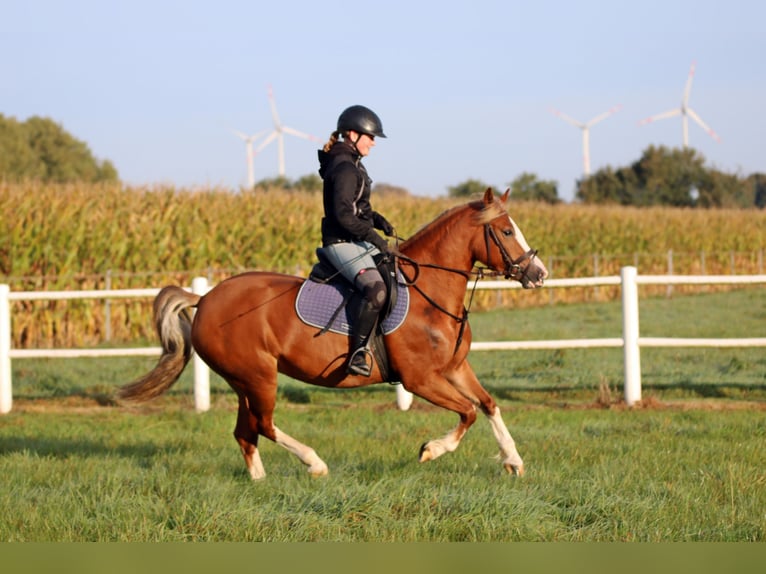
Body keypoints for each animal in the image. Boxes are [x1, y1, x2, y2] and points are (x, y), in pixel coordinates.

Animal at [120, 190, 548, 482]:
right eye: (506, 231)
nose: (539, 273)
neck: (431, 295)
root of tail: (205, 298)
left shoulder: (455, 368)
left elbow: (488, 404)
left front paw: (513, 460)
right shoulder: (421, 379)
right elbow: (468, 412)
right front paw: (430, 450)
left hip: (244, 381)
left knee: (246, 432)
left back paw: (260, 481)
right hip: (259, 377)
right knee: (264, 425)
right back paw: (315, 463)